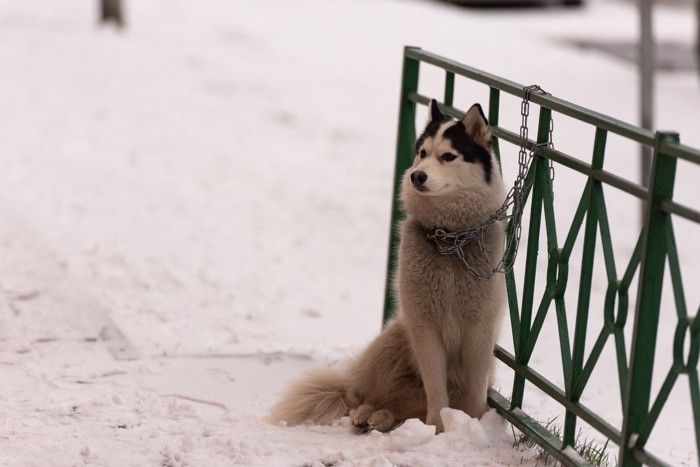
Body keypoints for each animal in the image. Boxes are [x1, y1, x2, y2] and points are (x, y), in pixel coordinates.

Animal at [268, 99, 504, 436]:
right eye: (422, 152)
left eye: (448, 156)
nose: (417, 176)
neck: (449, 238)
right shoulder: (423, 325)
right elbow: (435, 386)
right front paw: (439, 426)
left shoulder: (480, 327)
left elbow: (475, 390)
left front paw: (470, 426)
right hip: (392, 341)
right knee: (360, 394)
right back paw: (365, 413)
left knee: (399, 406)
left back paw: (380, 416)